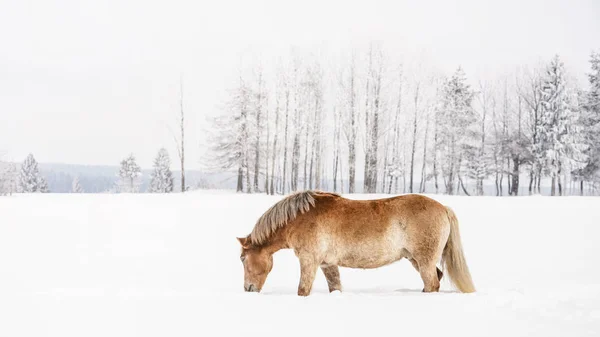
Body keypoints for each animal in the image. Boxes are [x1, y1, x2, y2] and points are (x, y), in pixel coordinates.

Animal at [237, 190, 476, 296]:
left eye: (242, 259)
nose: (248, 289)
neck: (301, 217)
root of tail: (443, 208)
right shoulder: (327, 264)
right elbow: (335, 287)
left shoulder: (308, 261)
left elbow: (302, 290)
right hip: (415, 260)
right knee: (435, 279)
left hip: (423, 260)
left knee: (432, 283)